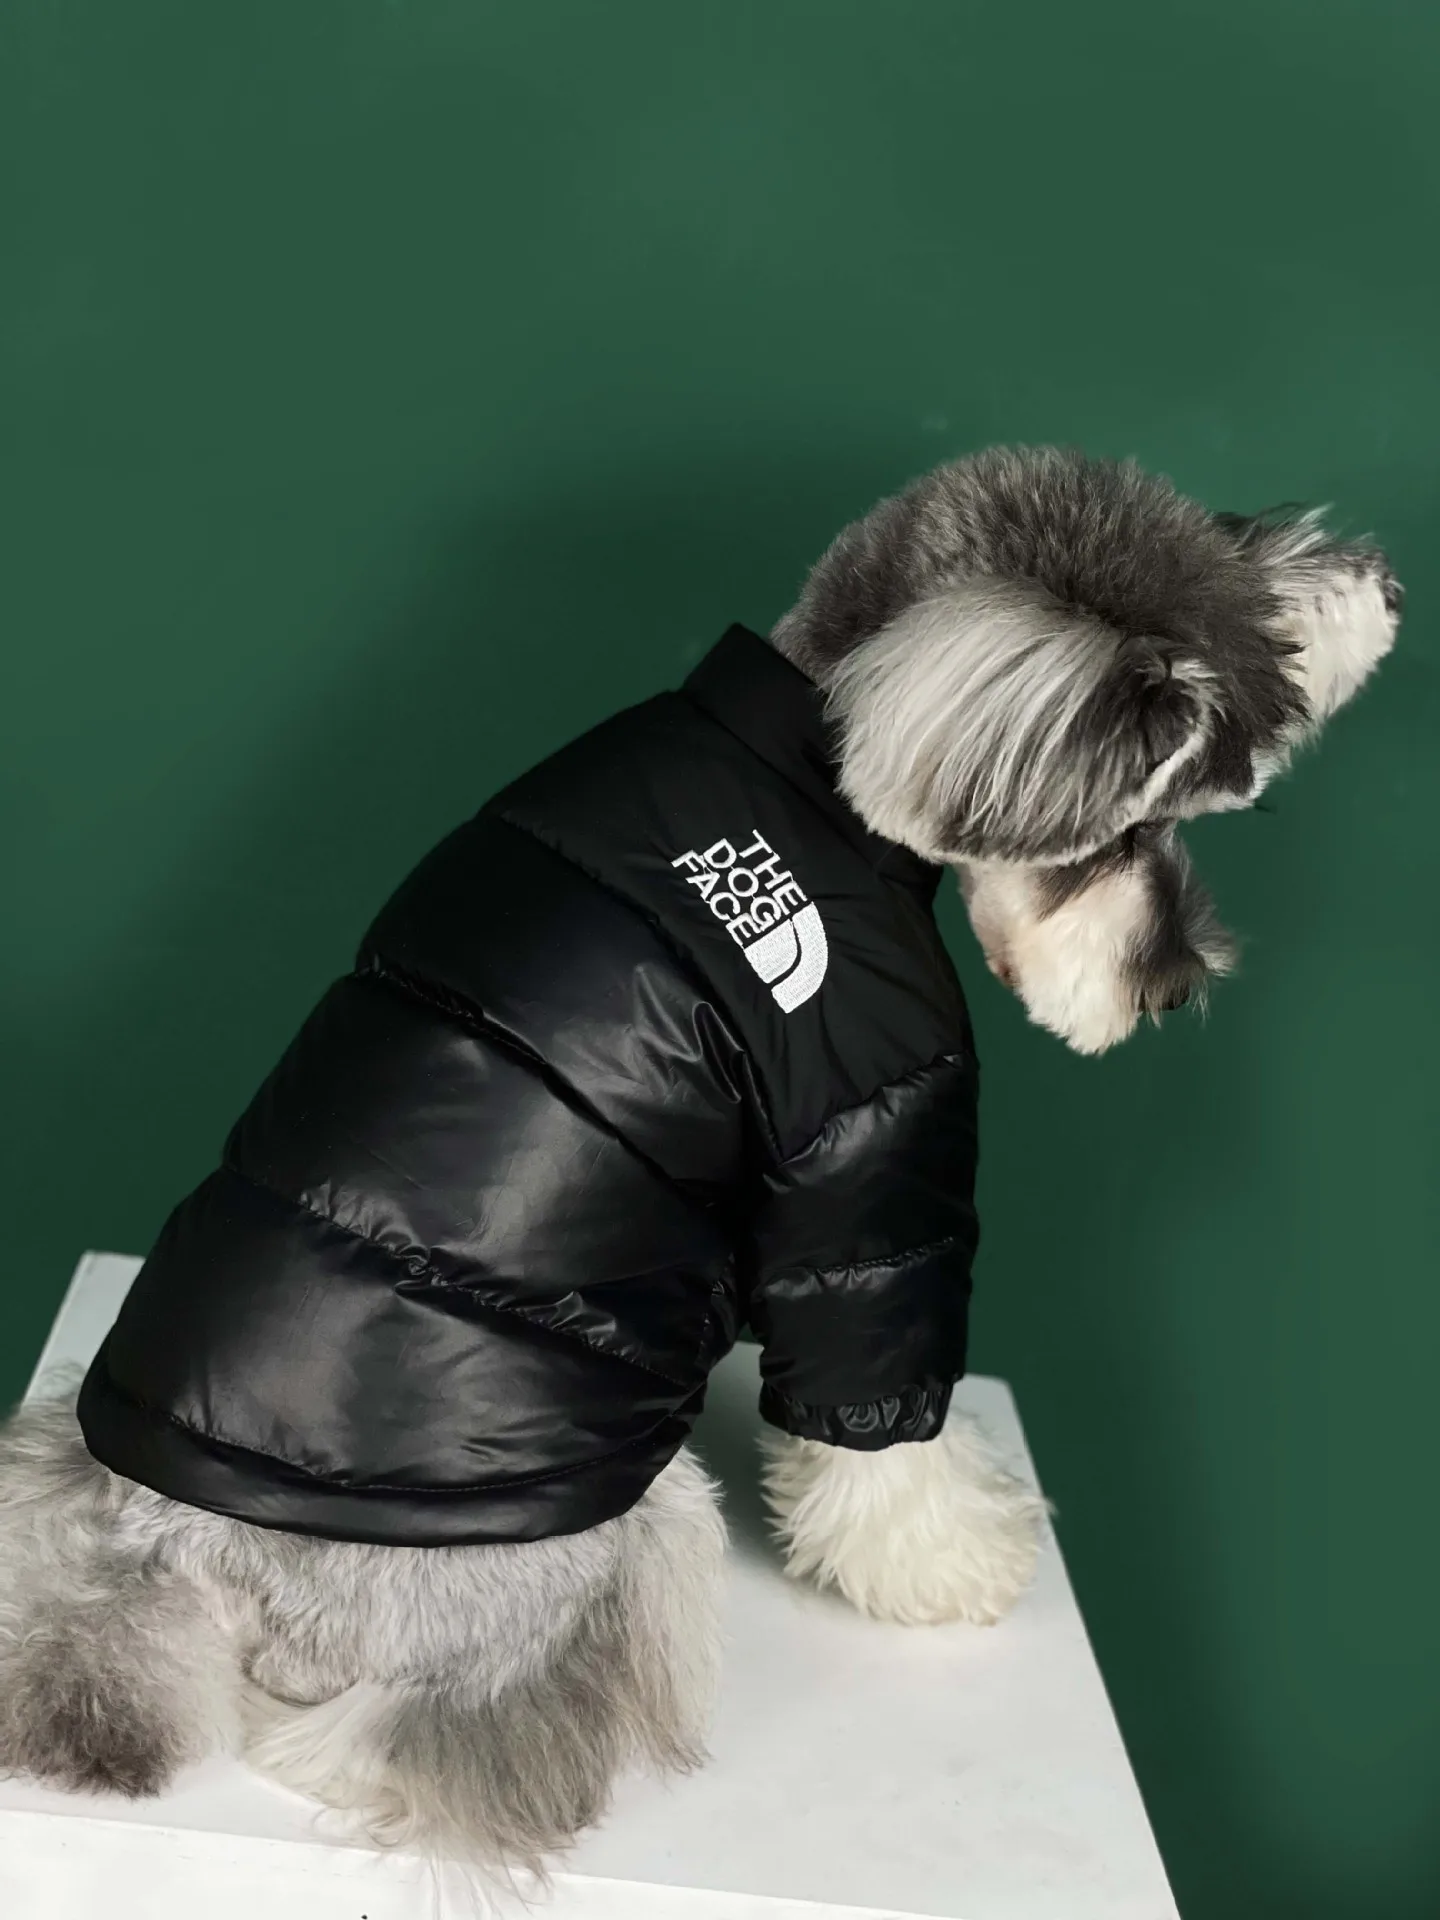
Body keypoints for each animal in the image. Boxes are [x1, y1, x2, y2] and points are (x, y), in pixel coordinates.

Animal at [0, 448, 1399, 1878]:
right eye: (1114, 838)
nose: (1177, 987)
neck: (807, 759)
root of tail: (176, 1556)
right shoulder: (873, 1162)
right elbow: (880, 1413)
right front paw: (954, 1559)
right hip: (628, 1519)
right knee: (416, 1737)